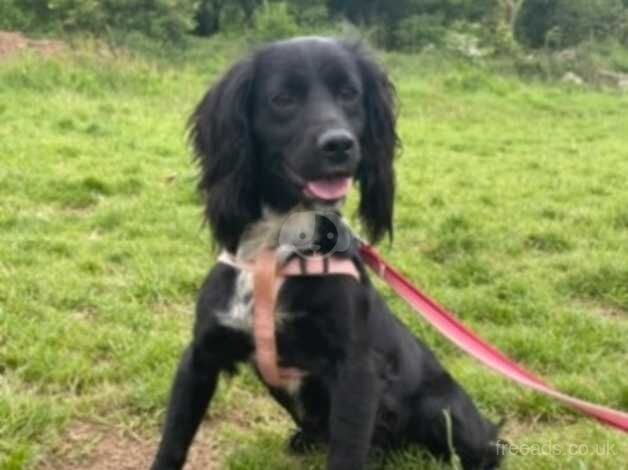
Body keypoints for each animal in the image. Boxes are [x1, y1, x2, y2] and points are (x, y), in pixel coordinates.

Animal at [150, 37, 502, 470]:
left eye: (349, 94)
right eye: (282, 99)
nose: (340, 144)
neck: (276, 254)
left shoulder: (356, 373)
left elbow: (347, 452)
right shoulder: (200, 356)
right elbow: (173, 440)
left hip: (444, 409)